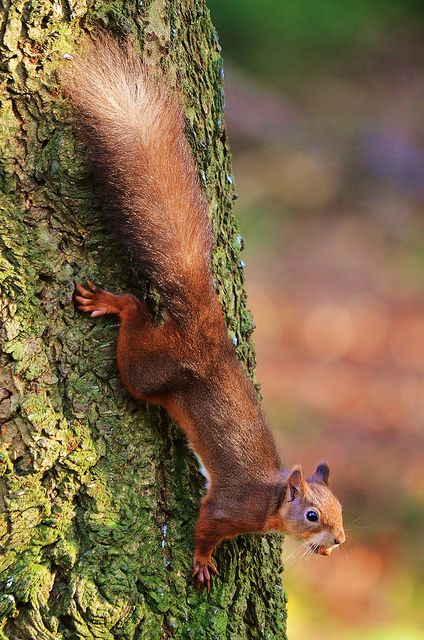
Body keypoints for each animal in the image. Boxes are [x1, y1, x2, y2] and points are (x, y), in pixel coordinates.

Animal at [64, 37, 346, 592]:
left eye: (342, 511)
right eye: (311, 516)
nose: (340, 542)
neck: (271, 498)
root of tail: (204, 328)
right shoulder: (227, 507)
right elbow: (204, 527)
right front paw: (200, 561)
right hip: (148, 372)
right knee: (135, 320)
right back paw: (112, 302)